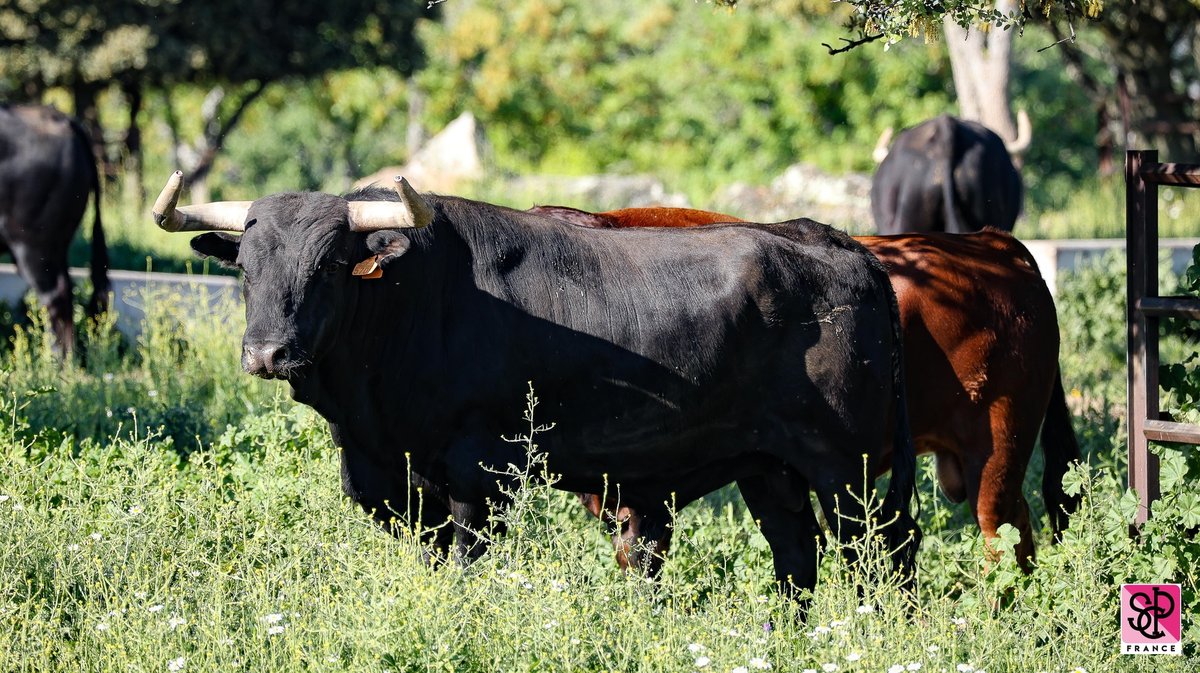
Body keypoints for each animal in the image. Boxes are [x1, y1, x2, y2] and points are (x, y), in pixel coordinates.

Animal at [150, 169, 916, 597]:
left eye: (331, 264)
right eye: (246, 267)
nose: (268, 352)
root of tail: (837, 241)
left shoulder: (481, 475)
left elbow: (467, 568)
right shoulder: (402, 484)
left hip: (848, 466)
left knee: (882, 553)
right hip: (768, 467)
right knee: (796, 560)